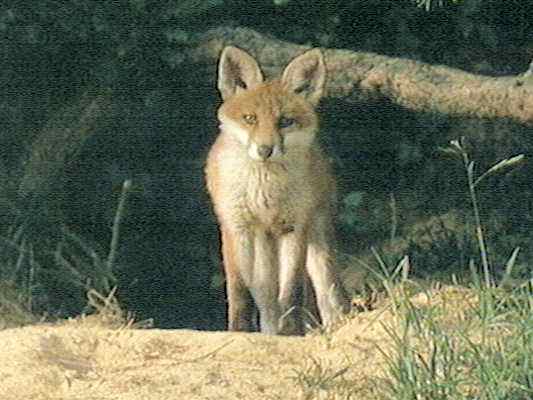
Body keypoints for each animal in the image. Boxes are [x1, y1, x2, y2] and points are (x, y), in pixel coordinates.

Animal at [206, 46, 352, 334]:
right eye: (250, 119)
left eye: (285, 121)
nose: (265, 149)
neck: (264, 190)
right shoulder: (235, 227)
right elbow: (239, 292)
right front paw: (239, 331)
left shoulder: (294, 227)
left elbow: (292, 291)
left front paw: (291, 332)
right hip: (261, 257)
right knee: (266, 303)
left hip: (318, 242)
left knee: (327, 292)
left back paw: (335, 326)